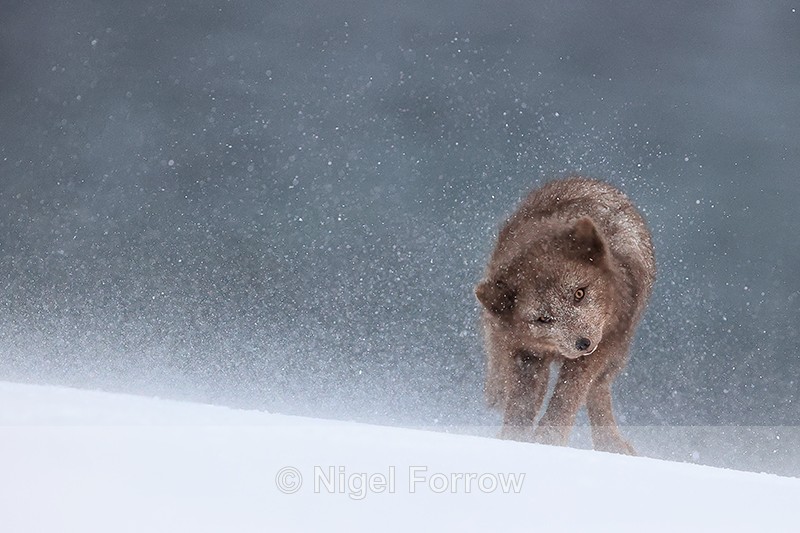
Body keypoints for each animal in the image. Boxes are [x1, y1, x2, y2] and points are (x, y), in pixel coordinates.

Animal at [475, 177, 655, 455]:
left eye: (579, 293)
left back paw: (612, 445)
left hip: (617, 351)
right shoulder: (526, 354)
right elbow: (521, 405)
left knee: (597, 390)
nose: (583, 343)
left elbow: (566, 398)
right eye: (543, 319)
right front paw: (514, 441)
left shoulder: (596, 351)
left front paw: (546, 441)